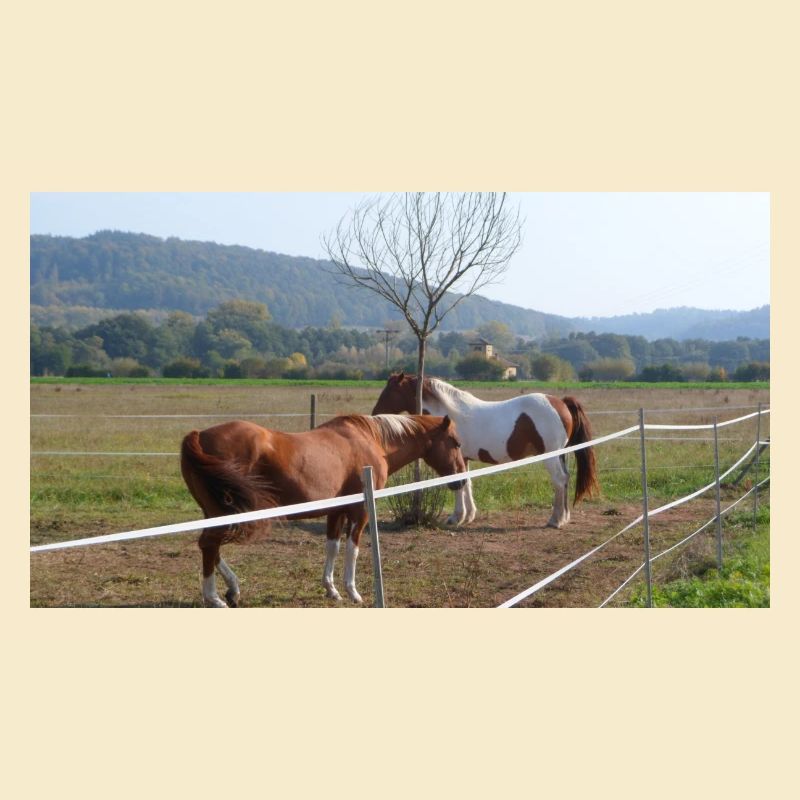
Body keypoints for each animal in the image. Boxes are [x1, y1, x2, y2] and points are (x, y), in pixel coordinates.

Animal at [180, 413, 466, 607]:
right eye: (455, 441)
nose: (461, 480)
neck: (370, 440)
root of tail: (198, 435)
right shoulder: (360, 511)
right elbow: (352, 549)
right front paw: (353, 592)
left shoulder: (335, 511)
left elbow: (332, 547)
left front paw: (332, 589)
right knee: (209, 545)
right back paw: (215, 598)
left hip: (214, 512)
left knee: (211, 547)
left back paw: (232, 589)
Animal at [372, 373, 599, 529]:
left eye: (390, 391)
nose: (374, 413)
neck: (450, 416)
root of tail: (560, 402)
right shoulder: (463, 458)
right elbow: (467, 483)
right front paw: (468, 515)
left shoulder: (456, 458)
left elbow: (459, 484)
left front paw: (456, 517)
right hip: (561, 455)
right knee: (566, 479)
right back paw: (564, 517)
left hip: (550, 456)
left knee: (559, 480)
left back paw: (555, 520)